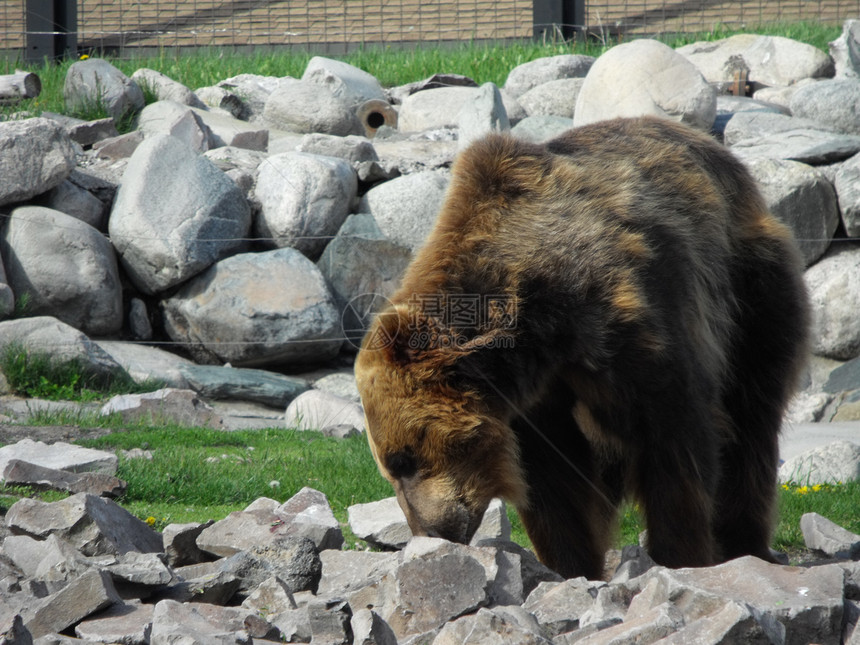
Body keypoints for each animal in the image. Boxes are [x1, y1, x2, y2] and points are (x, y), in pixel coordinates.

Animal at [352, 115, 808, 580]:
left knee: (751, 416)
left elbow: (676, 441)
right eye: (390, 466)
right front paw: (573, 567)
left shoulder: (638, 321)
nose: (430, 532)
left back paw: (746, 543)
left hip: (751, 293)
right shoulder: (533, 398)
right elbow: (555, 481)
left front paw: (680, 558)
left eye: (403, 459)